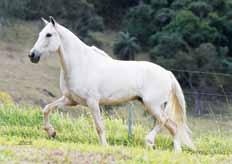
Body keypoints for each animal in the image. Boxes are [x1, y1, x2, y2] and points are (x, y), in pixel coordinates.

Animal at [29, 16, 195, 151]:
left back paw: (149, 141)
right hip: (153, 105)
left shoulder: (92, 102)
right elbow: (47, 109)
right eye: (40, 34)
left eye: (49, 35)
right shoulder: (70, 100)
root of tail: (167, 73)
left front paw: (105, 146)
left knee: (165, 122)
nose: (32, 55)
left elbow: (99, 126)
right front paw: (51, 132)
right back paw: (176, 152)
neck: (81, 64)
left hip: (152, 105)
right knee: (173, 127)